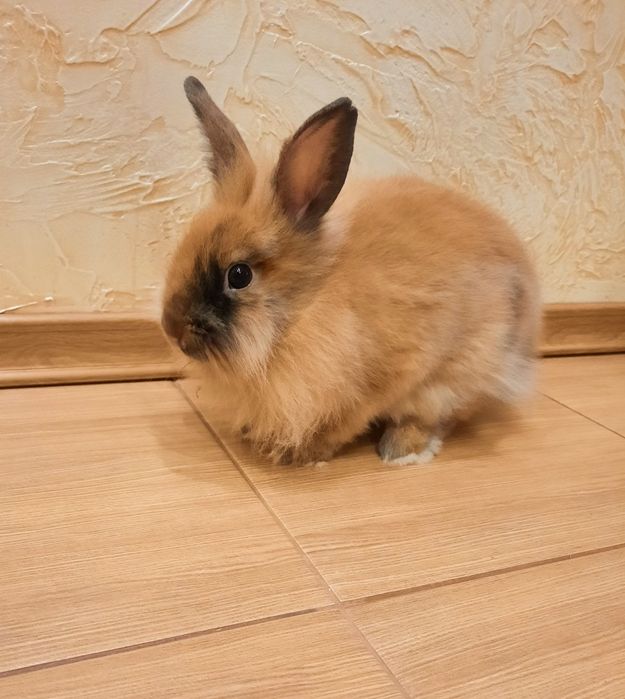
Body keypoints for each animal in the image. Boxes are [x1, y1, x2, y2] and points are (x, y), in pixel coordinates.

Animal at [161, 76, 541, 467]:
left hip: (458, 370)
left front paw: (305, 454)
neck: (303, 311)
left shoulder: (386, 377)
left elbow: (345, 419)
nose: (171, 328)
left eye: (238, 275)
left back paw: (400, 450)